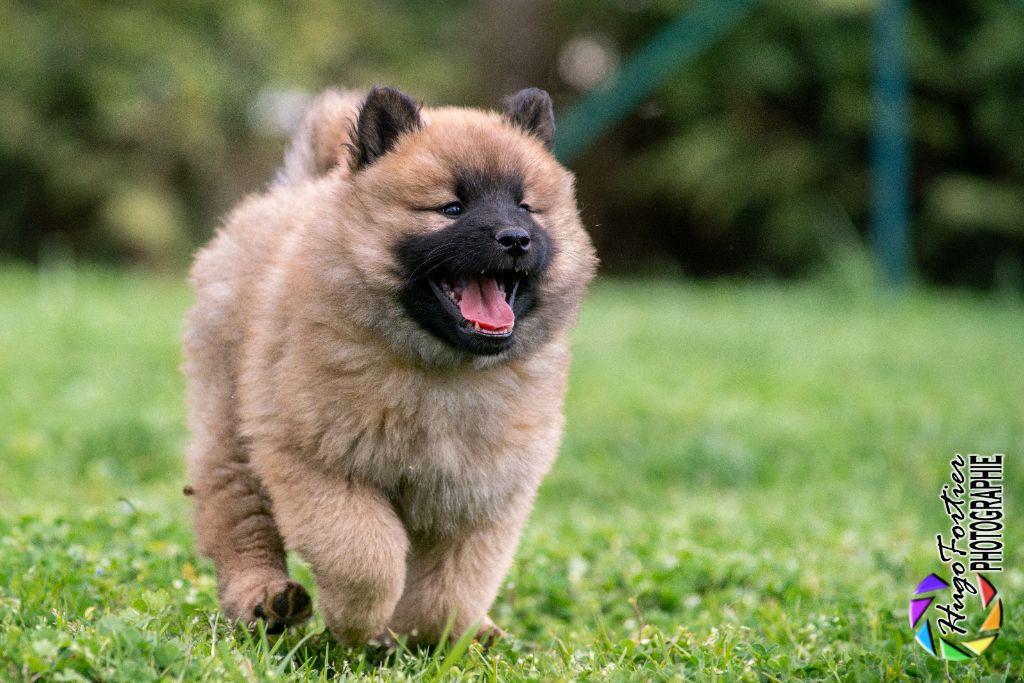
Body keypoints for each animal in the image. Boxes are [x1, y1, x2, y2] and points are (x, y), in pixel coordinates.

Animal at [183, 85, 598, 647]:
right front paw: (358, 626)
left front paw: (420, 636)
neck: (441, 371)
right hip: (231, 431)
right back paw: (266, 598)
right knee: (241, 524)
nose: (515, 237)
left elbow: (449, 590)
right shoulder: (319, 463)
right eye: (451, 208)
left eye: (526, 207)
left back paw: (480, 630)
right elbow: (366, 557)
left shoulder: (482, 496)